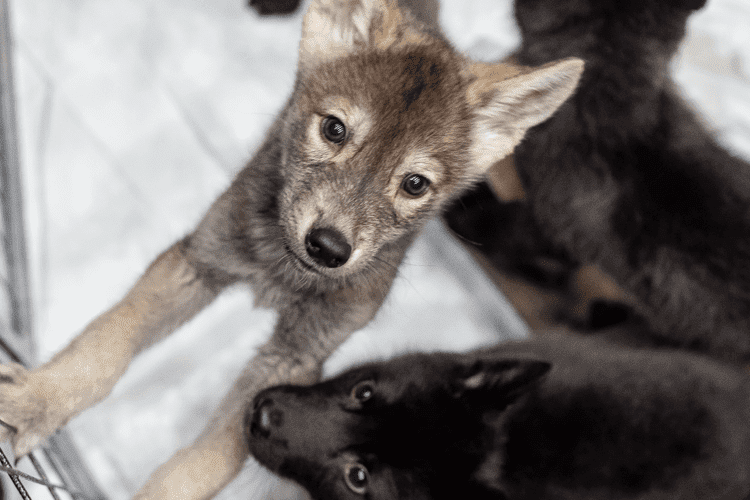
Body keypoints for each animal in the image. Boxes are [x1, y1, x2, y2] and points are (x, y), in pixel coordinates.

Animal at [0, 0, 582, 498]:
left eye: (415, 184)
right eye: (334, 129)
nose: (328, 247)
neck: (283, 271)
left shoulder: (295, 354)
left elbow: (201, 465)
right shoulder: (197, 263)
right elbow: (105, 346)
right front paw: (37, 401)